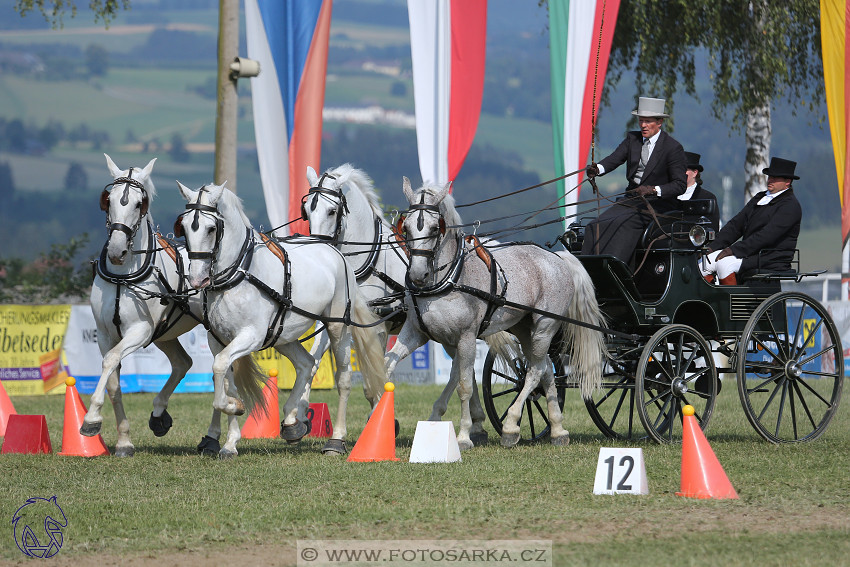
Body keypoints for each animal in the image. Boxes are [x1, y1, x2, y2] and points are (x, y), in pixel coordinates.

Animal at [86, 154, 242, 458]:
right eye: (108, 200)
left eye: (139, 203)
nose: (117, 251)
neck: (124, 274)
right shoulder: (106, 334)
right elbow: (113, 381)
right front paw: (124, 441)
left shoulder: (139, 332)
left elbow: (110, 361)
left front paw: (91, 418)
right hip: (166, 333)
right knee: (184, 363)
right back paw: (165, 417)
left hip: (212, 334)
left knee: (225, 376)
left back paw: (223, 439)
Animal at [176, 180, 388, 454]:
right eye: (184, 227)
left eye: (212, 228)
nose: (196, 279)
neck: (238, 275)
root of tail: (334, 251)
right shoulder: (219, 340)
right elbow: (226, 378)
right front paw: (231, 440)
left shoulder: (251, 336)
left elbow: (221, 367)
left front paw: (234, 406)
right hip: (283, 335)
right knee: (306, 364)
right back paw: (291, 422)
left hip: (337, 327)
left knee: (343, 377)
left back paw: (336, 440)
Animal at [304, 164, 486, 444]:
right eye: (306, 211)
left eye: (332, 211)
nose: (319, 252)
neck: (367, 262)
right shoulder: (335, 321)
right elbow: (313, 364)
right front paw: (295, 419)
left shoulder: (377, 327)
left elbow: (374, 376)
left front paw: (378, 420)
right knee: (464, 368)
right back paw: (476, 422)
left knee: (461, 368)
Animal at [384, 180, 604, 450]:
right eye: (405, 227)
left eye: (436, 228)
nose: (417, 275)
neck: (447, 279)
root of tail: (557, 257)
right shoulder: (416, 333)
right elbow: (388, 367)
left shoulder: (466, 337)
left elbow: (464, 385)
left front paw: (463, 436)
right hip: (524, 328)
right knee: (546, 370)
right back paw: (557, 430)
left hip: (545, 326)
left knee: (535, 371)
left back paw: (511, 426)